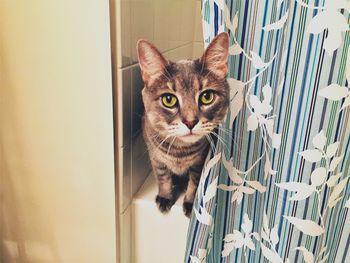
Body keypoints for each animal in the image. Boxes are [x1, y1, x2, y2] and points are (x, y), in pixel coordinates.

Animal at [137, 32, 230, 219]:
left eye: (207, 96)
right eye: (169, 99)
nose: (190, 122)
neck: (179, 151)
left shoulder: (200, 162)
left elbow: (194, 184)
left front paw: (189, 203)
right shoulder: (156, 158)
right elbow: (163, 178)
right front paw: (165, 197)